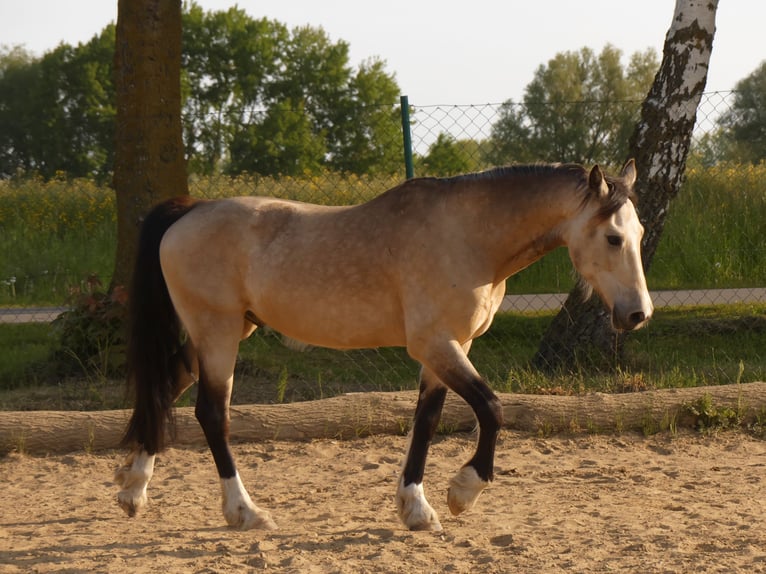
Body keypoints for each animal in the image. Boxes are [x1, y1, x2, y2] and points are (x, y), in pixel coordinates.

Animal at [115, 160, 653, 532]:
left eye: (640, 232)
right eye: (612, 237)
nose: (637, 315)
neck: (467, 235)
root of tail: (190, 210)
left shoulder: (446, 350)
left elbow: (427, 422)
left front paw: (415, 508)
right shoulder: (436, 344)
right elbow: (492, 409)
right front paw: (462, 492)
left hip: (222, 333)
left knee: (166, 386)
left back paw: (133, 488)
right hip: (219, 333)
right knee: (211, 414)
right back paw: (245, 512)